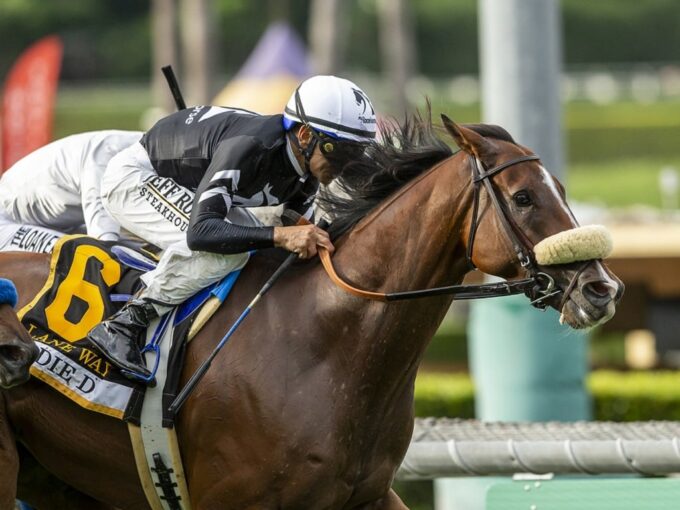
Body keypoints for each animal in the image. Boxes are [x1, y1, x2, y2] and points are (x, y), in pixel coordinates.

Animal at [0, 117, 620, 508]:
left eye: (562, 190)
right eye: (523, 198)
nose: (600, 289)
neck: (327, 341)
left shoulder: (368, 495)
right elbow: (205, 229)